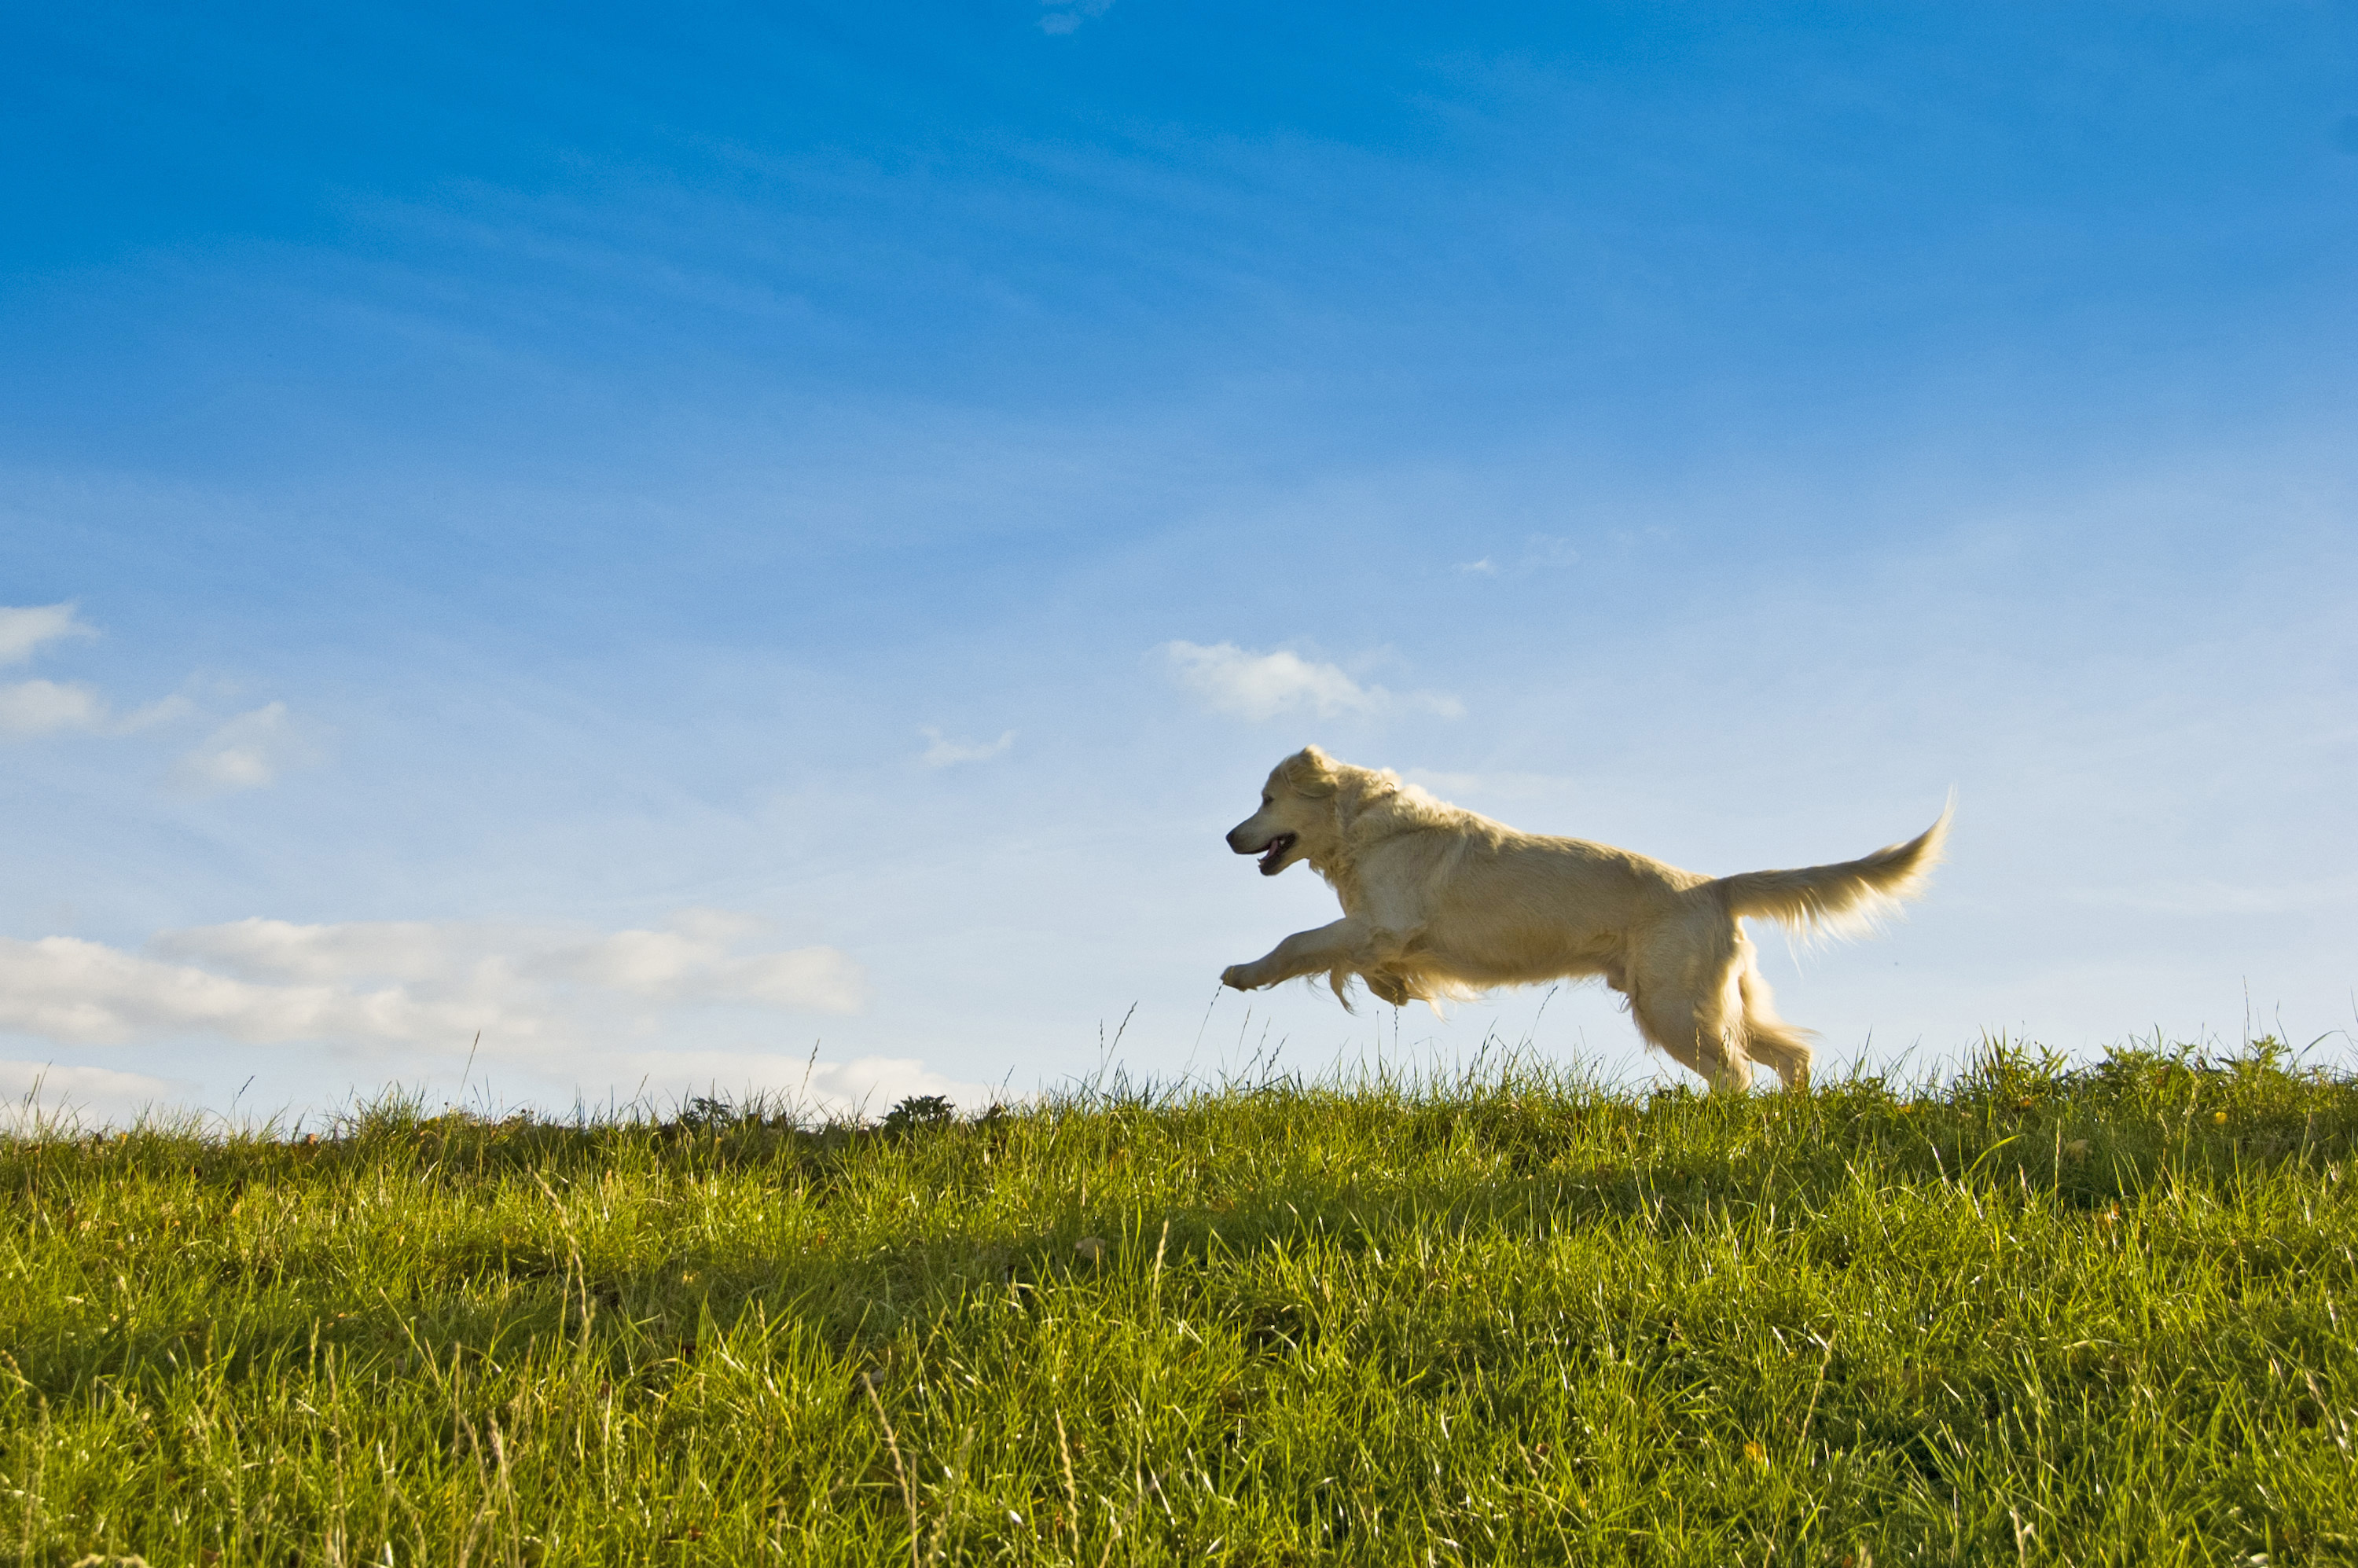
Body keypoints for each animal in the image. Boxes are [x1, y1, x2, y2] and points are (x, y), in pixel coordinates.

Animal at [1217, 745, 1952, 1089]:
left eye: (1267, 799)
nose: (1227, 836)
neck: (1360, 826)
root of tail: (1713, 887)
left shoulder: (1383, 922)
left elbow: (1300, 941)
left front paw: (1246, 972)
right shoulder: (1384, 932)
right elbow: (1363, 964)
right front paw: (1393, 988)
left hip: (1675, 1007)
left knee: (1738, 1073)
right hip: (1708, 999)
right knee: (1792, 1054)